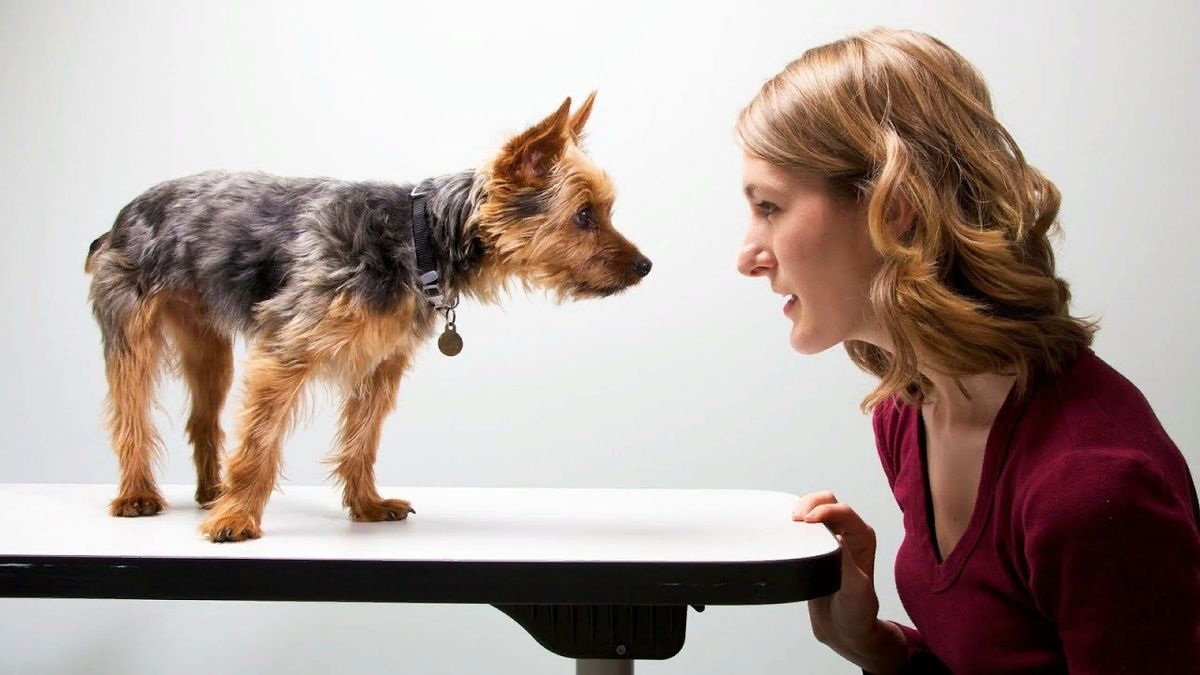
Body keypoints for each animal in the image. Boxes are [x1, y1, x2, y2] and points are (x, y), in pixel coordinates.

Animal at [84, 90, 652, 540]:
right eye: (584, 216)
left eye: (605, 212)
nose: (646, 266)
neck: (421, 237)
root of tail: (120, 218)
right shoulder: (286, 352)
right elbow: (260, 442)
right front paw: (238, 518)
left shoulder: (382, 362)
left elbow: (363, 437)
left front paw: (365, 505)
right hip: (133, 332)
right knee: (131, 412)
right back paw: (139, 495)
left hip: (208, 348)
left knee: (203, 416)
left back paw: (210, 491)